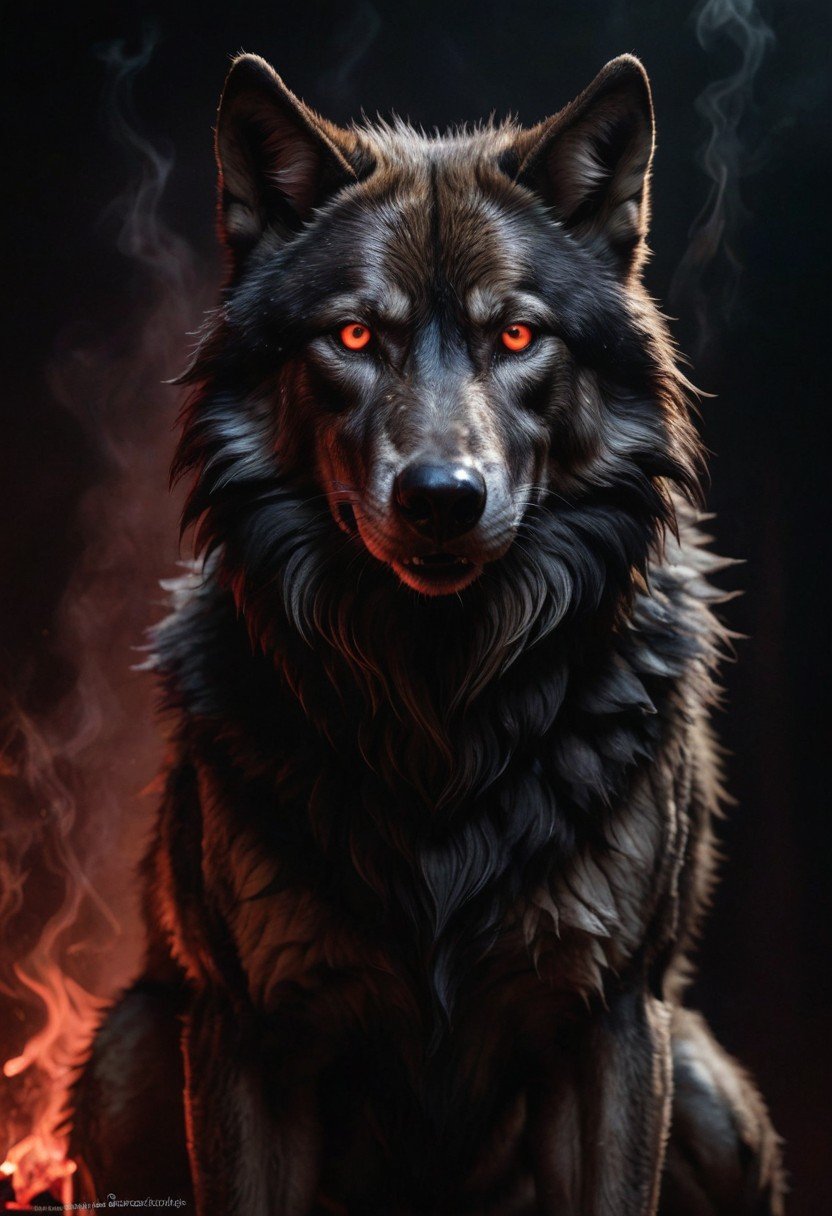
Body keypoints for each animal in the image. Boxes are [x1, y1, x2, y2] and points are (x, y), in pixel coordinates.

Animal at [71, 52, 784, 1215]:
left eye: (517, 335)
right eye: (357, 335)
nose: (443, 497)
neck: (437, 696)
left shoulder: (610, 1022)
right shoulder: (248, 1032)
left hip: (704, 1083)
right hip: (131, 1051)